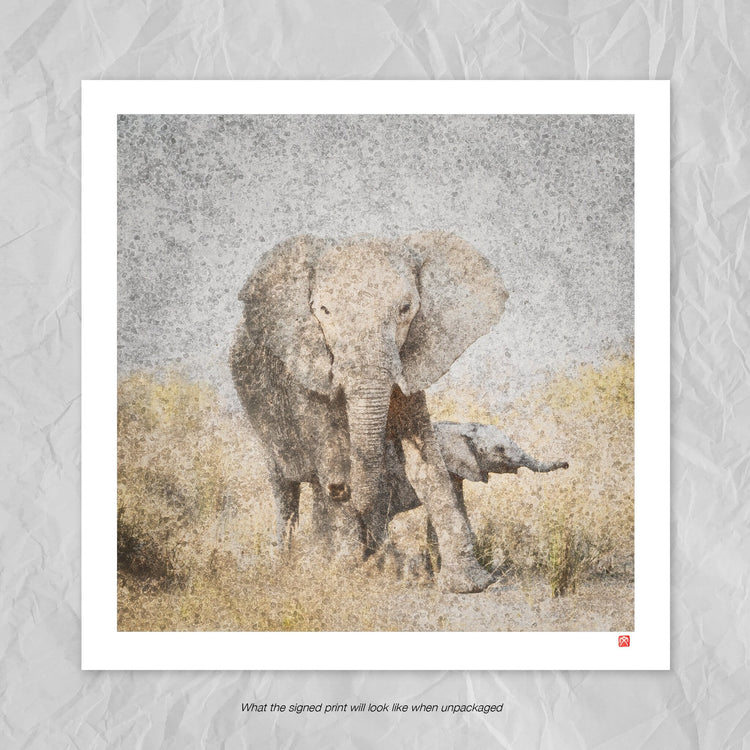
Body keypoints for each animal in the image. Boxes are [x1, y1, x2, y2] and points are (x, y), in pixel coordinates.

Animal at [230, 232, 507, 593]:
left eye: (405, 309)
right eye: (324, 310)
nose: (343, 491)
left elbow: (428, 465)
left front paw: (469, 585)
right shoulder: (306, 369)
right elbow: (334, 460)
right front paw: (345, 574)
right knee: (289, 488)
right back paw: (294, 564)